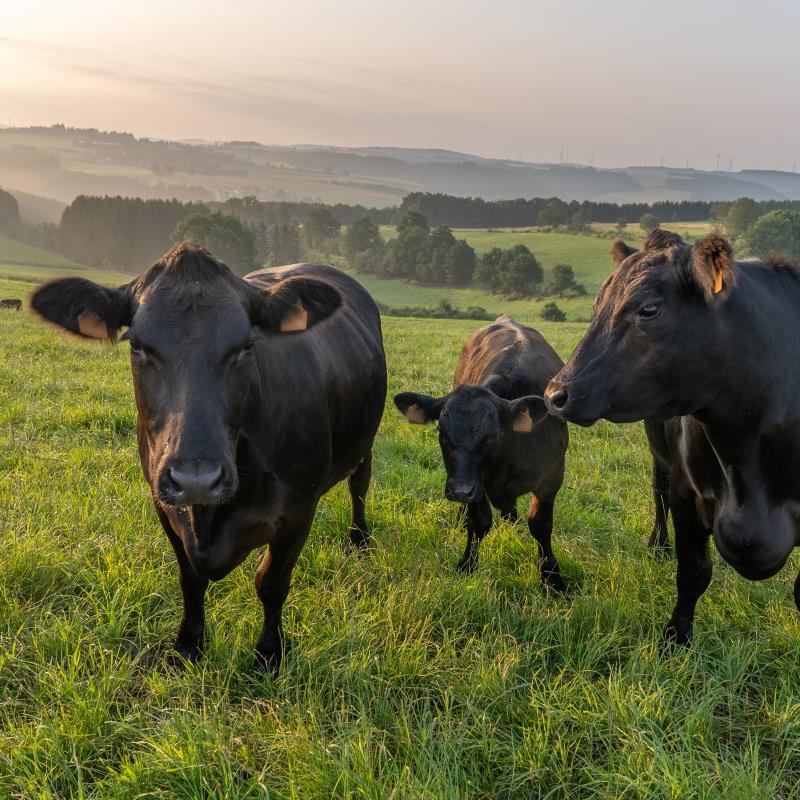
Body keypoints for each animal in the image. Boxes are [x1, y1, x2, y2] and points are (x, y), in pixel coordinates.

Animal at [32, 245, 390, 676]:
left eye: (246, 346)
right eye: (137, 346)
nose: (197, 479)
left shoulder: (298, 511)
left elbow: (271, 583)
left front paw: (268, 654)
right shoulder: (163, 502)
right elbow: (190, 578)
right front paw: (188, 645)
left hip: (365, 442)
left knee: (359, 485)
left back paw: (359, 540)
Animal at [394, 316, 568, 592]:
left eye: (493, 436)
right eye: (442, 432)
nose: (460, 491)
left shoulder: (551, 475)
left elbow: (540, 525)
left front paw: (552, 578)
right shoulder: (477, 485)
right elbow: (479, 522)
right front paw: (467, 564)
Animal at [548, 228, 800, 648]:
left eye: (649, 310)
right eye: (598, 305)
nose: (555, 393)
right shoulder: (687, 494)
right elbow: (693, 572)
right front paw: (675, 638)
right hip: (660, 451)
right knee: (658, 491)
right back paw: (658, 544)